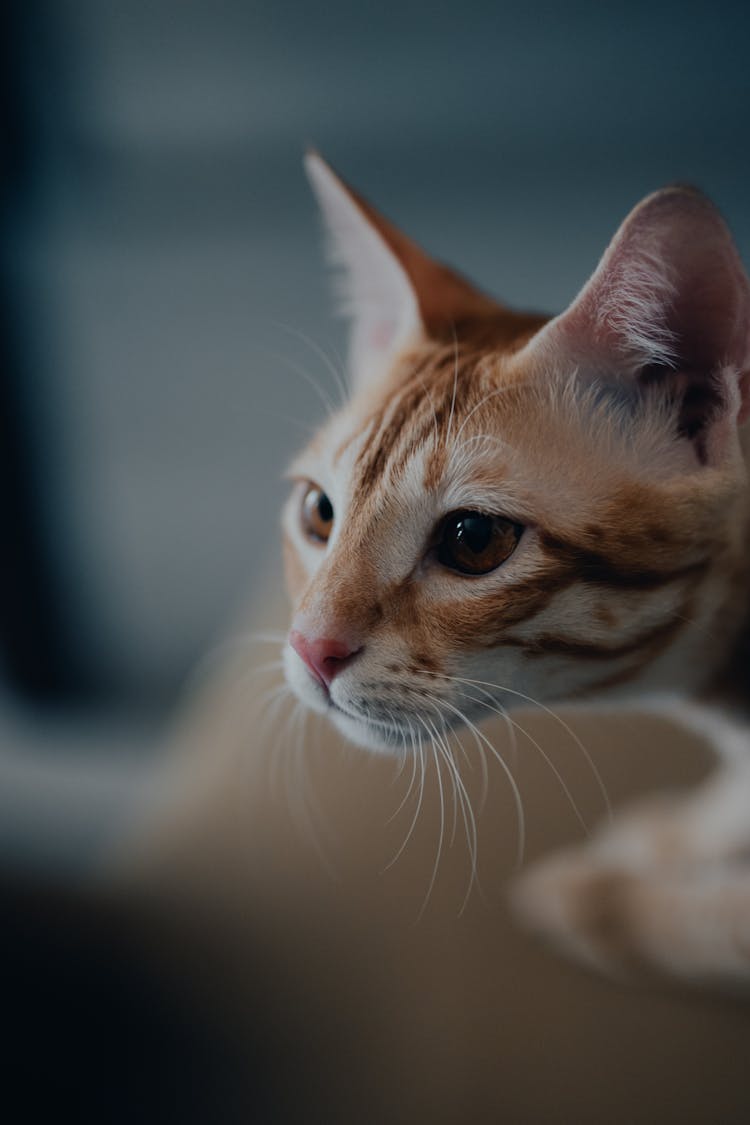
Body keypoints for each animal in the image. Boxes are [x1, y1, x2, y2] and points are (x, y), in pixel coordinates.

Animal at [283, 151, 750, 985]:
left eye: (474, 539)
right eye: (319, 513)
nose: (310, 647)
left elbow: (719, 921)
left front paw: (604, 903)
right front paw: (685, 832)